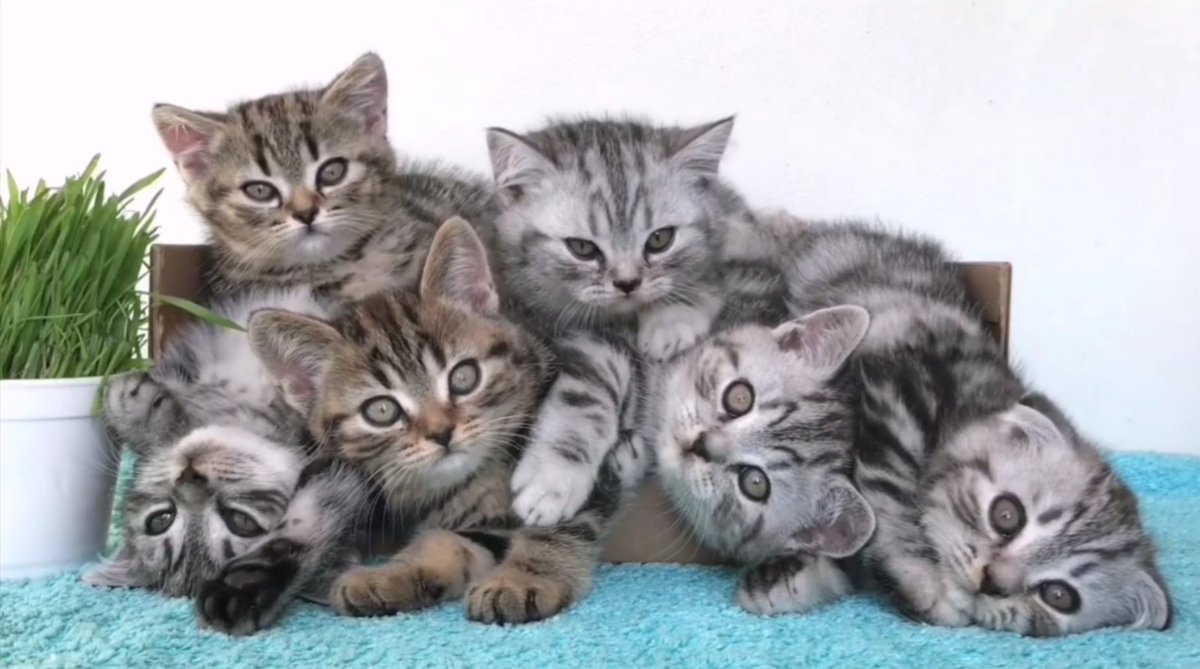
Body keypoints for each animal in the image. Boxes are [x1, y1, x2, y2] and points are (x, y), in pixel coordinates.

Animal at [246, 217, 618, 624]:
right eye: (381, 410)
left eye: (463, 377)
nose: (442, 433)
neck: (482, 477)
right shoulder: (478, 526)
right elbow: (450, 544)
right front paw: (390, 577)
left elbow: (556, 526)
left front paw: (522, 580)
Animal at [482, 115, 778, 526]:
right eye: (582, 248)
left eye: (660, 239)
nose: (627, 283)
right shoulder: (577, 336)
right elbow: (581, 401)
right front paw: (553, 478)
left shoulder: (740, 233)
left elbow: (709, 273)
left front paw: (670, 321)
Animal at [653, 216, 1173, 636]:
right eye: (1008, 515)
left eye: (1058, 596)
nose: (992, 580)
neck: (973, 402)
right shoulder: (896, 389)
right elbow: (892, 494)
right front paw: (924, 582)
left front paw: (793, 578)